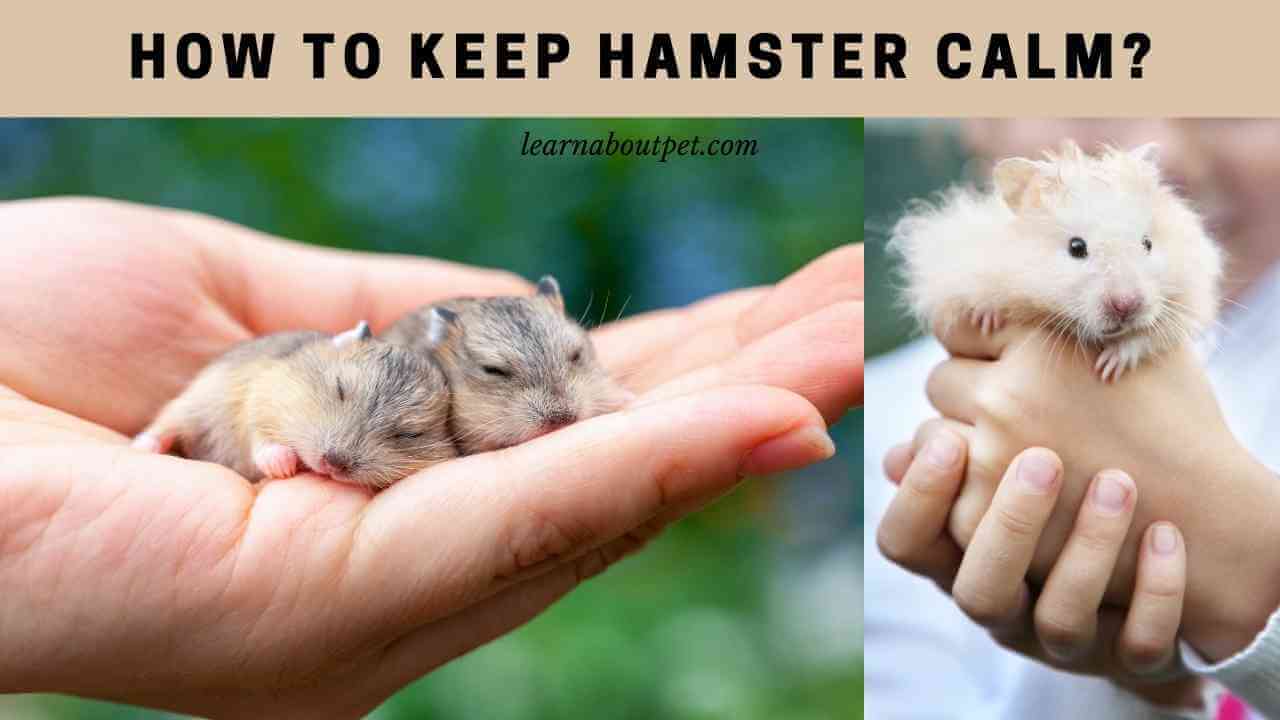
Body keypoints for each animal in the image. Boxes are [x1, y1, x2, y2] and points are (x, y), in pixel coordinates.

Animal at [133, 321, 456, 488]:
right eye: (339, 388)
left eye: (409, 434)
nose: (333, 463)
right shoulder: (258, 398)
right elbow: (262, 440)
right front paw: (284, 468)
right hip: (193, 403)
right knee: (165, 426)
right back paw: (142, 448)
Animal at [891, 140, 1223, 382]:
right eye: (1076, 247)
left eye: (1148, 243)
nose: (1127, 305)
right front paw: (986, 318)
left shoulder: (1190, 303)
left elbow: (1150, 336)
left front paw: (1110, 366)